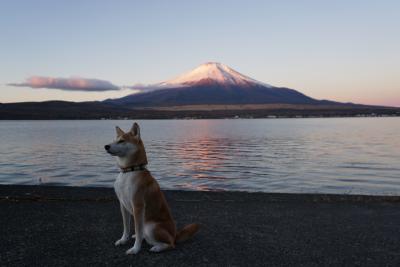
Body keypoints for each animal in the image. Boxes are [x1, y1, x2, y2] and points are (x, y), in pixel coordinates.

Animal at [104, 123, 200, 255]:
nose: (106, 146)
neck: (129, 171)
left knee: (170, 244)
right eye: (114, 140)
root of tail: (175, 234)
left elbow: (137, 230)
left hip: (151, 227)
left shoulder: (138, 205)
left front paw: (135, 249)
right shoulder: (122, 205)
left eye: (122, 141)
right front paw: (123, 240)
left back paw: (157, 247)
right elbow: (126, 227)